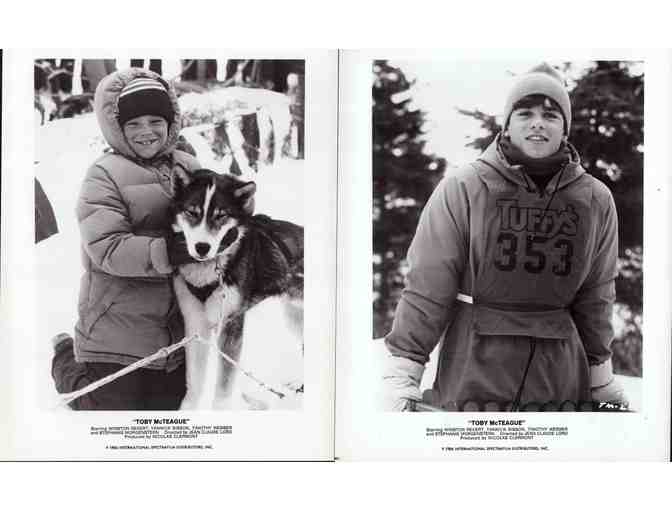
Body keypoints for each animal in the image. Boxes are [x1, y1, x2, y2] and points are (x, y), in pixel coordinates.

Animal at [169, 168, 304, 410]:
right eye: (192, 212)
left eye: (221, 215)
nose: (202, 247)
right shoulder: (195, 323)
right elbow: (195, 383)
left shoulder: (231, 324)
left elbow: (223, 388)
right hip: (294, 317)